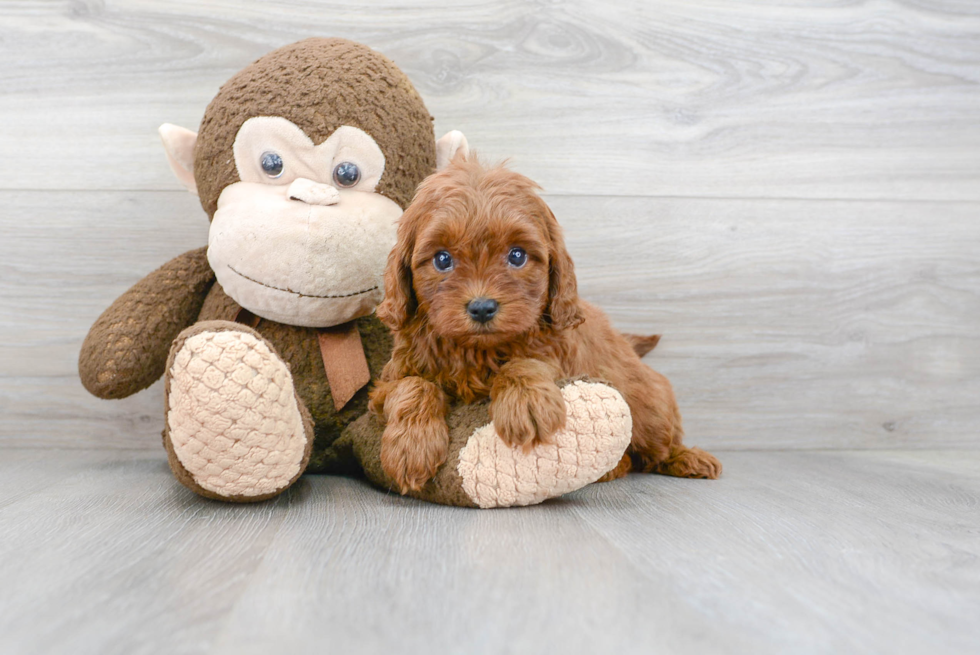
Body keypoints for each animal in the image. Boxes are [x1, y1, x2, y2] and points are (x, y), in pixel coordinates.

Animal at [370, 156, 720, 494]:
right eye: (442, 259)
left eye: (517, 256)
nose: (482, 307)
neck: (477, 351)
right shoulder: (387, 382)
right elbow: (412, 385)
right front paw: (411, 445)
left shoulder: (559, 355)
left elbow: (526, 362)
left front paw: (525, 401)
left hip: (650, 407)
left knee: (657, 446)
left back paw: (689, 458)